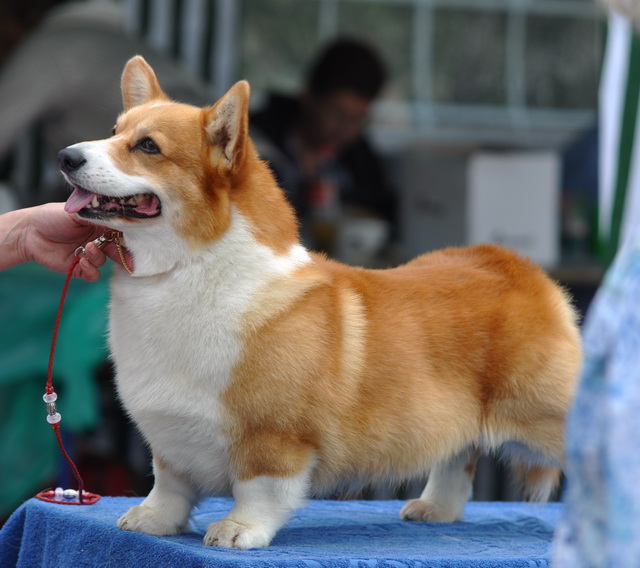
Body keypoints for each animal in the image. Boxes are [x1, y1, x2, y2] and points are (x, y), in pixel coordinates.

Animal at [58, 55, 580, 548]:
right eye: (114, 133)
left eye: (148, 146)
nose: (65, 156)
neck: (185, 269)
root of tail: (517, 266)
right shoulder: (170, 440)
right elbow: (169, 485)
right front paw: (151, 521)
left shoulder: (275, 438)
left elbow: (260, 490)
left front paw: (238, 531)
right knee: (456, 460)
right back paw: (435, 510)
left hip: (547, 412)